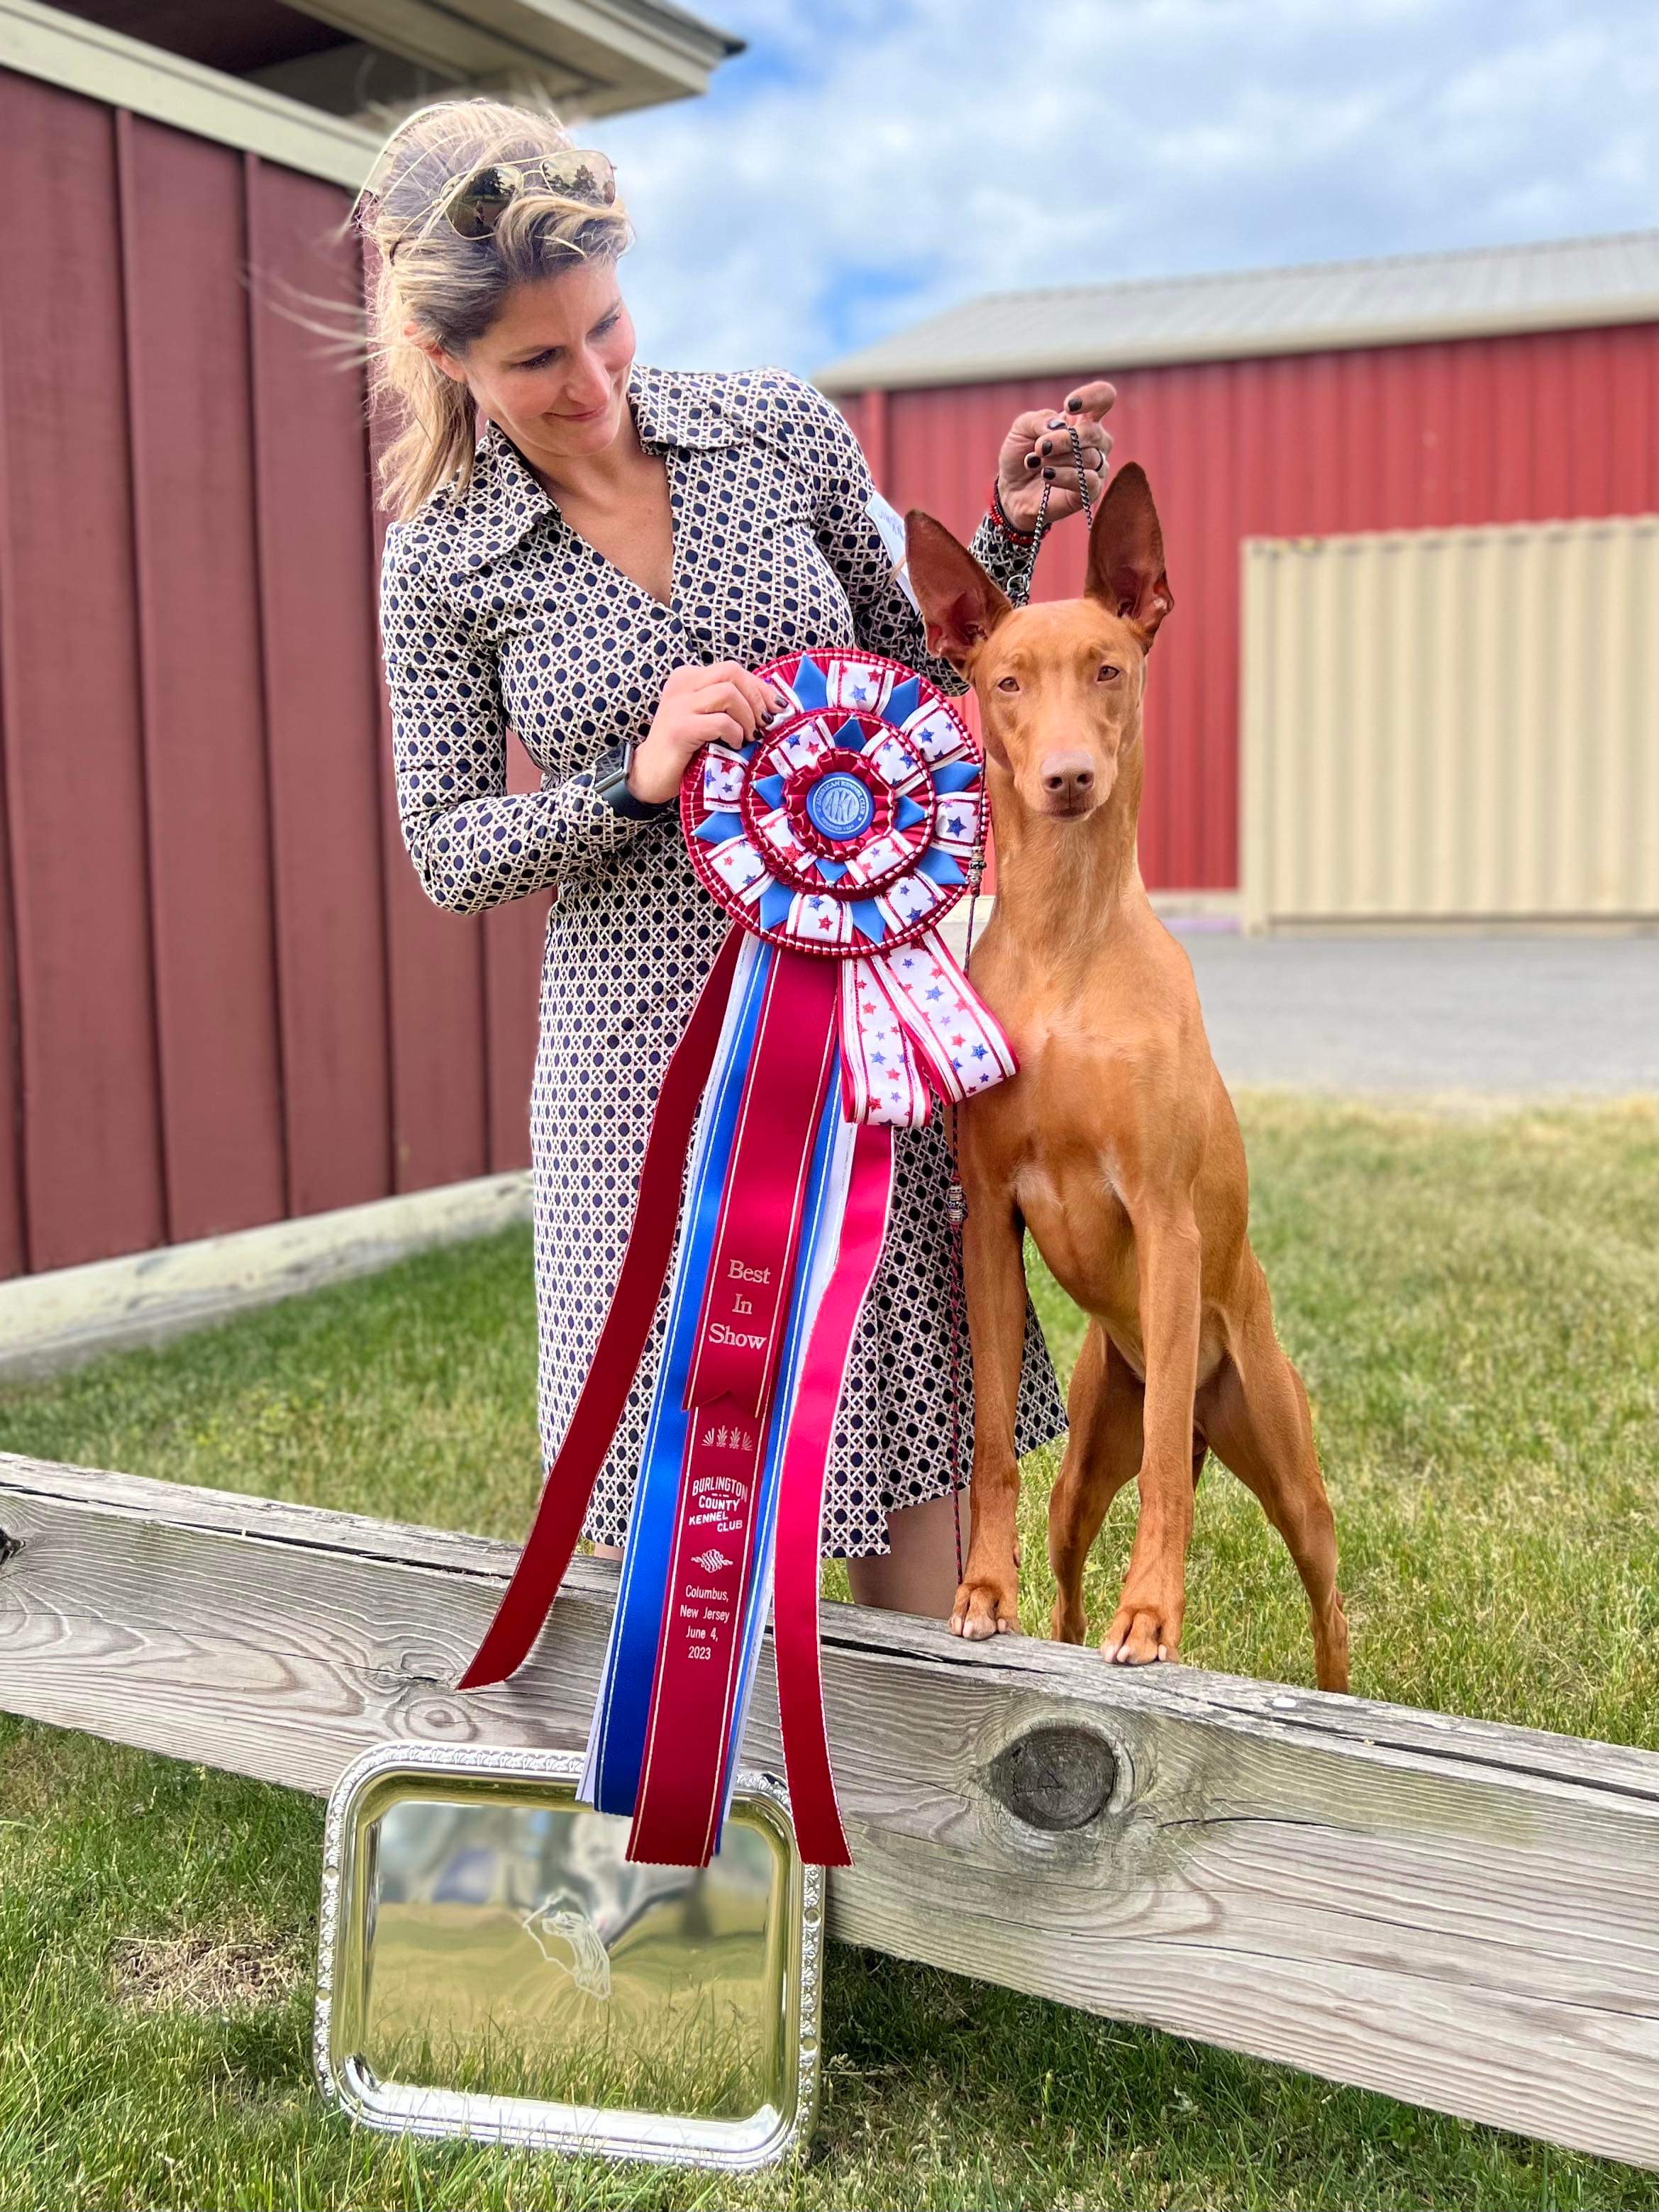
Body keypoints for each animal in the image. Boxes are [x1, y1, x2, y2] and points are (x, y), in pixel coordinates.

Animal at [905, 466, 1349, 1691]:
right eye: (1005, 681)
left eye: (1108, 667)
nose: (1067, 778)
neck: (1066, 943)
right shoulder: (987, 1215)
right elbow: (992, 1440)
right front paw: (980, 1590)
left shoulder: (1162, 1213)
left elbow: (1160, 1483)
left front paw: (1150, 1612)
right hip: (1093, 1435)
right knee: (1066, 1566)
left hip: (1274, 1443)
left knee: (1321, 1591)